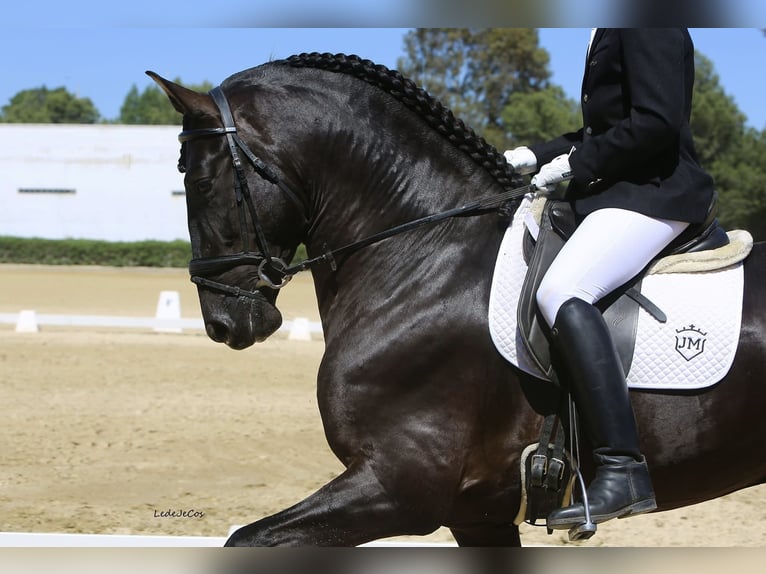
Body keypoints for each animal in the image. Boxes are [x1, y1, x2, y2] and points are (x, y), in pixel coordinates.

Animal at [147, 53, 766, 547]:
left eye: (196, 182)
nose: (222, 322)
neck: (424, 253)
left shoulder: (399, 487)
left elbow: (245, 539)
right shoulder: (476, 516)